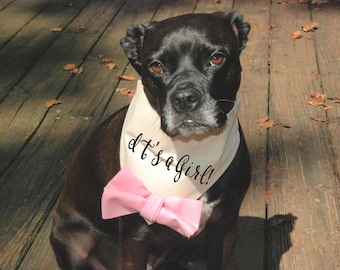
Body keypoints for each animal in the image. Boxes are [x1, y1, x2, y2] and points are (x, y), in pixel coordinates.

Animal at [51, 11, 252, 270]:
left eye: (216, 59)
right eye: (156, 66)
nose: (184, 98)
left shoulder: (224, 228)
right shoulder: (136, 239)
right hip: (72, 242)